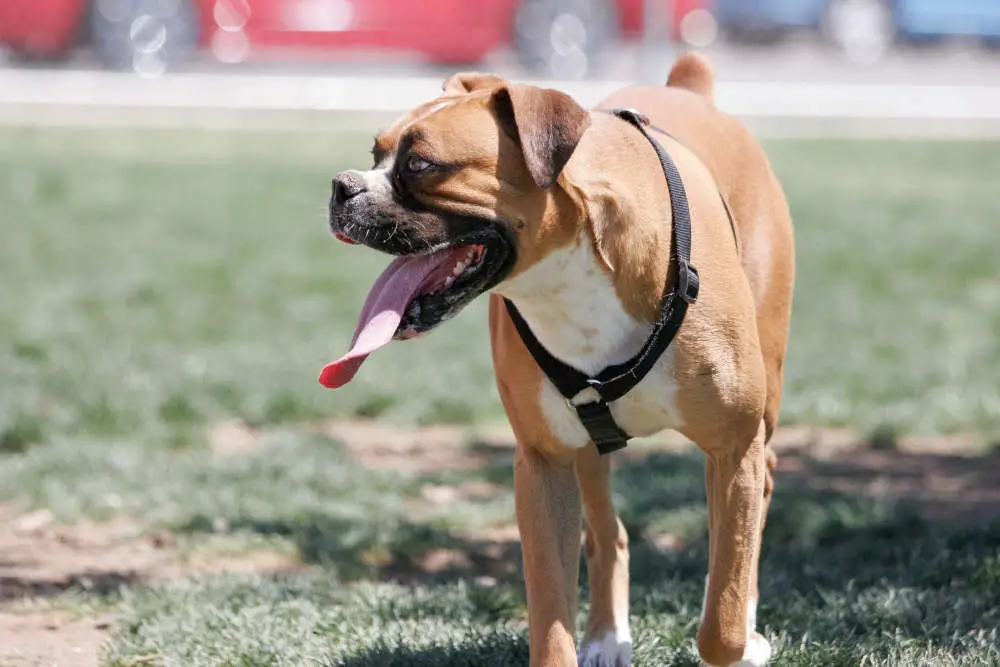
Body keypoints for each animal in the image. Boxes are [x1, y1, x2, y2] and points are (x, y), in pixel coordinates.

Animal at [324, 52, 792, 667]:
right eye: (375, 152)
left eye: (421, 164)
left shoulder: (732, 450)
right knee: (609, 532)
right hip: (587, 447)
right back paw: (606, 636)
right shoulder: (543, 464)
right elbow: (550, 618)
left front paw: (743, 642)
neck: (571, 271)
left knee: (759, 501)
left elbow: (723, 616)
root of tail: (690, 89)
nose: (340, 186)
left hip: (760, 415)